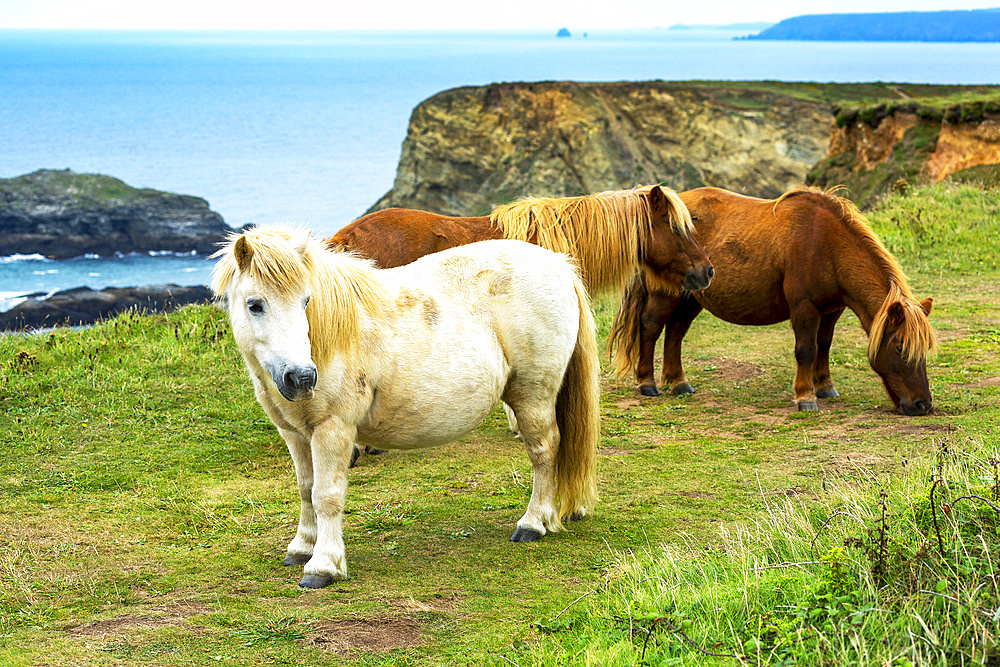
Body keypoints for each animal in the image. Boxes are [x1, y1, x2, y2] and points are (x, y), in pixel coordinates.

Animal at [212, 228, 596, 588]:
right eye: (255, 304)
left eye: (306, 300)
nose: (302, 378)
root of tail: (558, 264)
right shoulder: (294, 433)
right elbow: (306, 489)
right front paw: (302, 547)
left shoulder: (333, 429)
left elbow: (326, 496)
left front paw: (323, 565)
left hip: (533, 396)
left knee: (544, 451)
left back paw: (533, 523)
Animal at [608, 188, 936, 414]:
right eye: (899, 347)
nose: (923, 404)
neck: (825, 243)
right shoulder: (804, 308)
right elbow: (806, 350)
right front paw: (805, 397)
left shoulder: (832, 310)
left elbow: (824, 346)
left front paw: (825, 387)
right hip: (667, 294)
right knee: (651, 328)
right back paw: (648, 383)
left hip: (692, 296)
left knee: (675, 332)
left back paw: (678, 383)